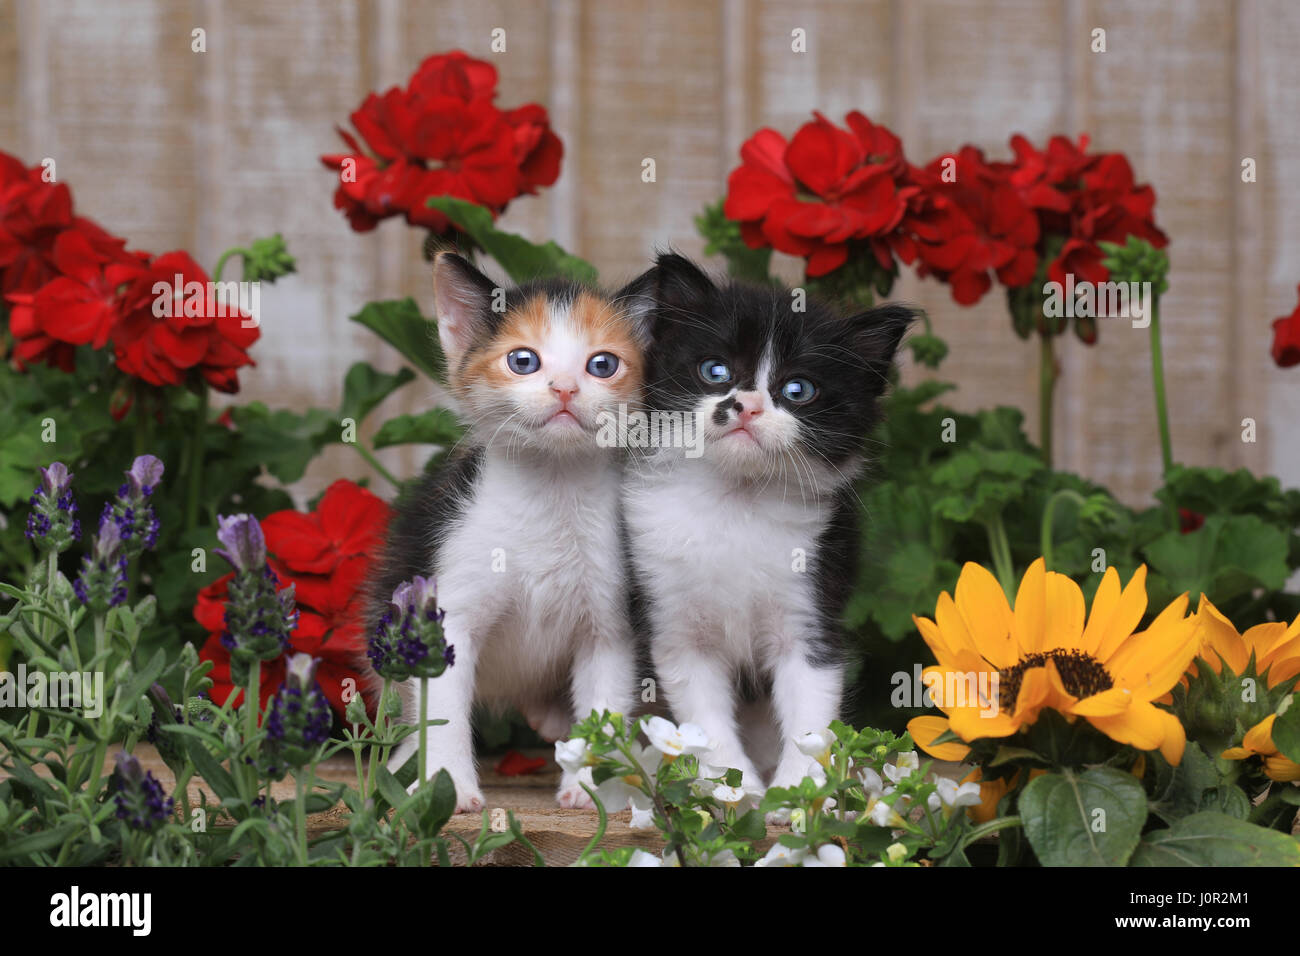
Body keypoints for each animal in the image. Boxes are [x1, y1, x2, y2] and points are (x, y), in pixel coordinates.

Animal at [379, 251, 655, 811]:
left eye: (602, 365)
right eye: (523, 361)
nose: (565, 387)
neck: (551, 489)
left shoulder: (612, 622)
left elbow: (605, 699)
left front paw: (594, 785)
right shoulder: (449, 603)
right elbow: (441, 705)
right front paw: (447, 782)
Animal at [621, 252, 915, 790]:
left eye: (798, 389)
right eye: (715, 370)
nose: (747, 405)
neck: (737, 501)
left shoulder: (813, 606)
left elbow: (811, 710)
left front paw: (798, 792)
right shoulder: (675, 625)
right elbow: (705, 722)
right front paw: (734, 790)